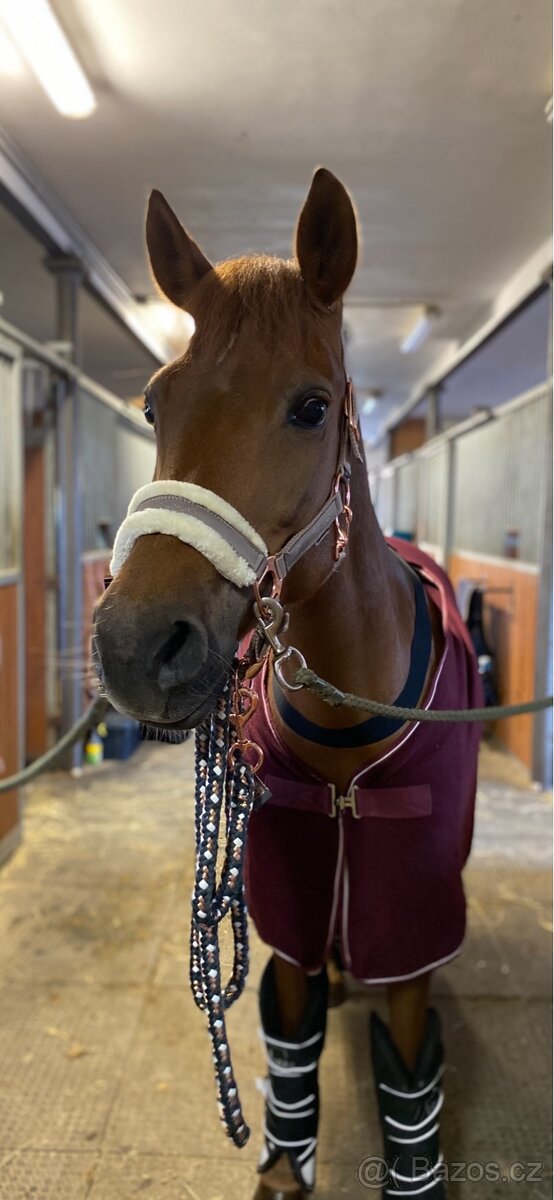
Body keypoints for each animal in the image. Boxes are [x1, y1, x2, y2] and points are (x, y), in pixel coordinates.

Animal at [93, 168, 482, 1199]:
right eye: (153, 405)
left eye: (311, 407)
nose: (136, 645)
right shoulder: (291, 910)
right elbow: (293, 1045)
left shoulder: (409, 927)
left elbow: (409, 1075)